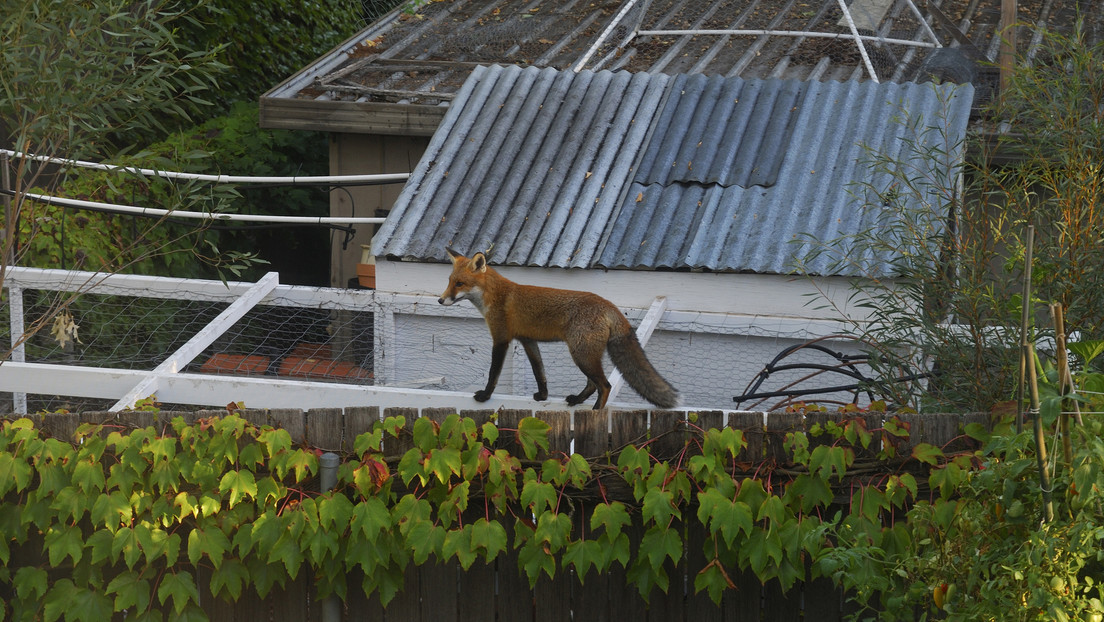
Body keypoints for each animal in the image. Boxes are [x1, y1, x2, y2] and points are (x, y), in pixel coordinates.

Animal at [434, 248, 675, 408]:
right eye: (449, 281)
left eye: (459, 284)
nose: (440, 300)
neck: (495, 297)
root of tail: (609, 305)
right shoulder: (527, 340)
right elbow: (539, 371)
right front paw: (543, 396)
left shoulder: (501, 338)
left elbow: (494, 373)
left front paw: (485, 396)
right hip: (585, 354)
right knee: (593, 384)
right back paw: (577, 400)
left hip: (581, 354)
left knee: (605, 386)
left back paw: (596, 412)